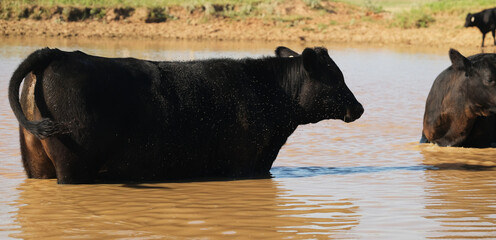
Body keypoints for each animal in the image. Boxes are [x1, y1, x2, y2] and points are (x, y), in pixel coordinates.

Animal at [7, 46, 364, 184]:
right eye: (336, 76)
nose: (359, 108)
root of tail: (58, 53)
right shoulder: (246, 163)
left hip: (37, 163)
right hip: (73, 167)